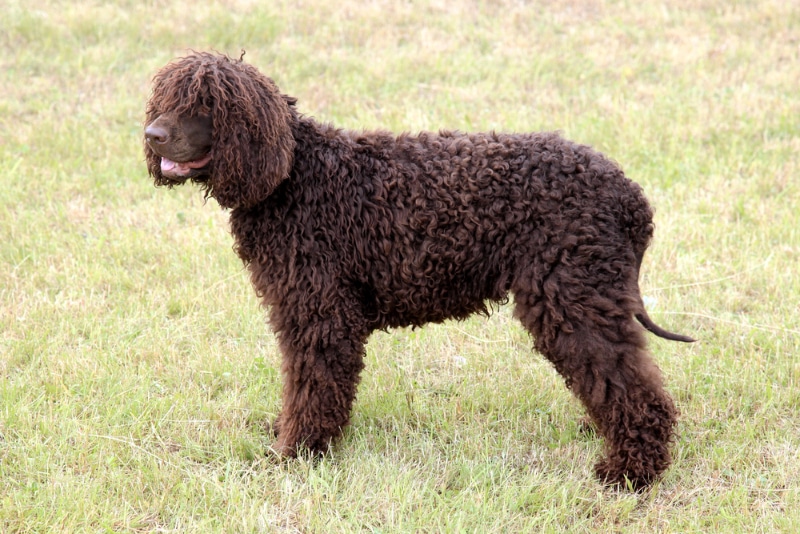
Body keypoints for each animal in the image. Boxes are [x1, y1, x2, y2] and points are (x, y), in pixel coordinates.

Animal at [145, 51, 692, 490]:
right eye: (164, 98)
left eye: (207, 104)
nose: (152, 135)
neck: (293, 175)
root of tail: (629, 196)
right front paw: (288, 434)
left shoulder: (321, 312)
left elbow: (313, 386)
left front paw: (297, 453)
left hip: (571, 295)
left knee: (632, 386)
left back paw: (630, 472)